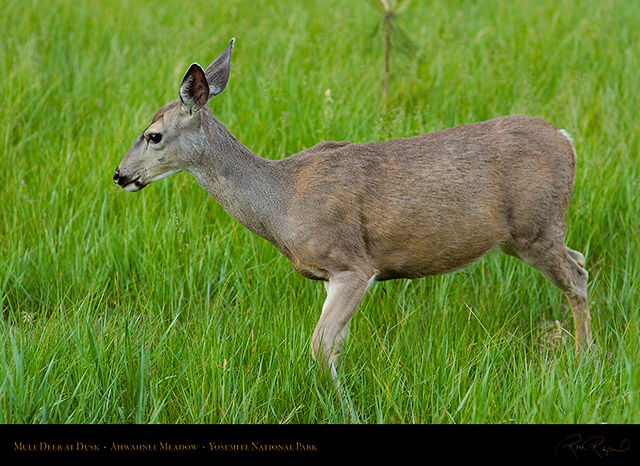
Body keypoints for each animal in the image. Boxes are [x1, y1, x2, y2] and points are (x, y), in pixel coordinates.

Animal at [114, 39, 592, 390]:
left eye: (153, 135)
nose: (120, 175)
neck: (282, 201)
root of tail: (567, 140)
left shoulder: (352, 264)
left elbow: (319, 346)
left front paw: (340, 403)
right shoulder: (330, 277)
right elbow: (334, 346)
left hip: (536, 227)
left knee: (578, 275)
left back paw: (585, 360)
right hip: (530, 233)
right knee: (581, 260)